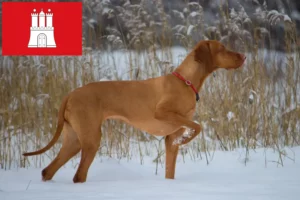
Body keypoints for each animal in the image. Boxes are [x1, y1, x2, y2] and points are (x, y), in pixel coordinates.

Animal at [22, 40, 246, 183]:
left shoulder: (169, 139)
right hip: (91, 140)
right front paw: (187, 138)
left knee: (48, 171)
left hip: (74, 141)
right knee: (78, 176)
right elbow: (198, 126)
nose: (244, 56)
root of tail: (70, 94)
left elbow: (170, 169)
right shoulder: (163, 113)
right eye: (222, 48)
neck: (186, 82)